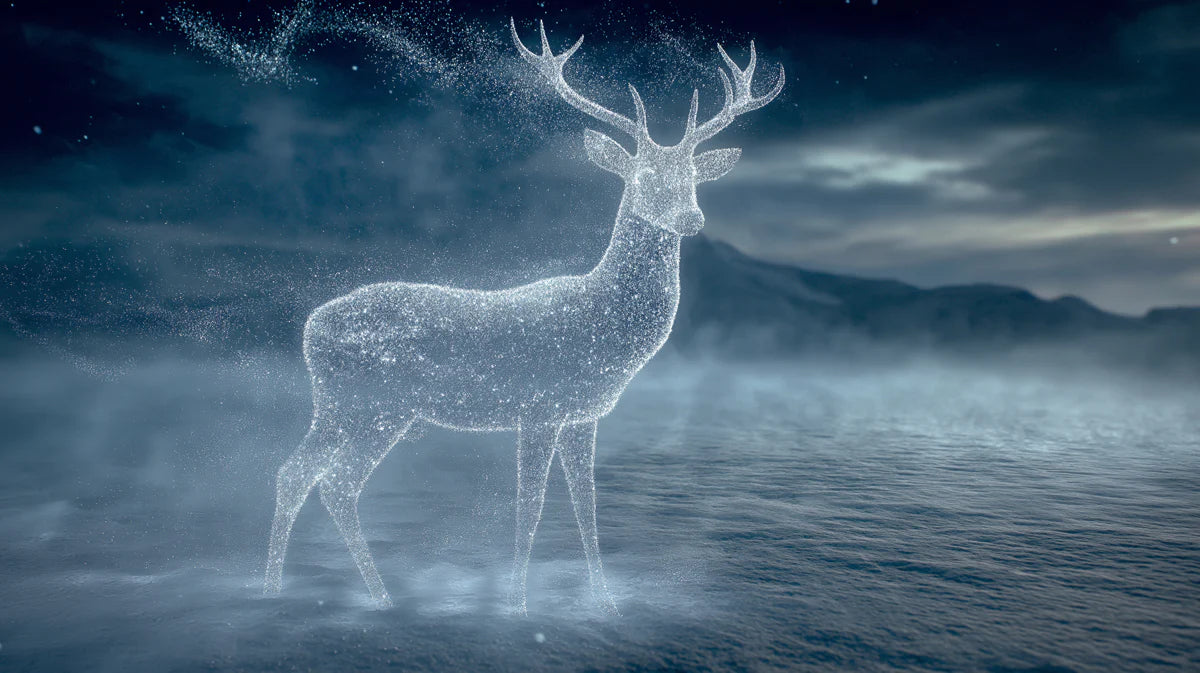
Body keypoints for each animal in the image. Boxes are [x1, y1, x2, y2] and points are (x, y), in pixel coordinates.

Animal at [263, 18, 784, 615]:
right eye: (643, 174)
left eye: (696, 175)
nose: (693, 218)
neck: (600, 320)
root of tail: (309, 327)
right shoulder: (538, 406)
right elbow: (530, 506)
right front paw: (516, 605)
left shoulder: (582, 414)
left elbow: (586, 505)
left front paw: (606, 602)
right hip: (364, 402)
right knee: (317, 477)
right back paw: (349, 593)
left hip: (365, 408)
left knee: (312, 475)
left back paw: (308, 590)